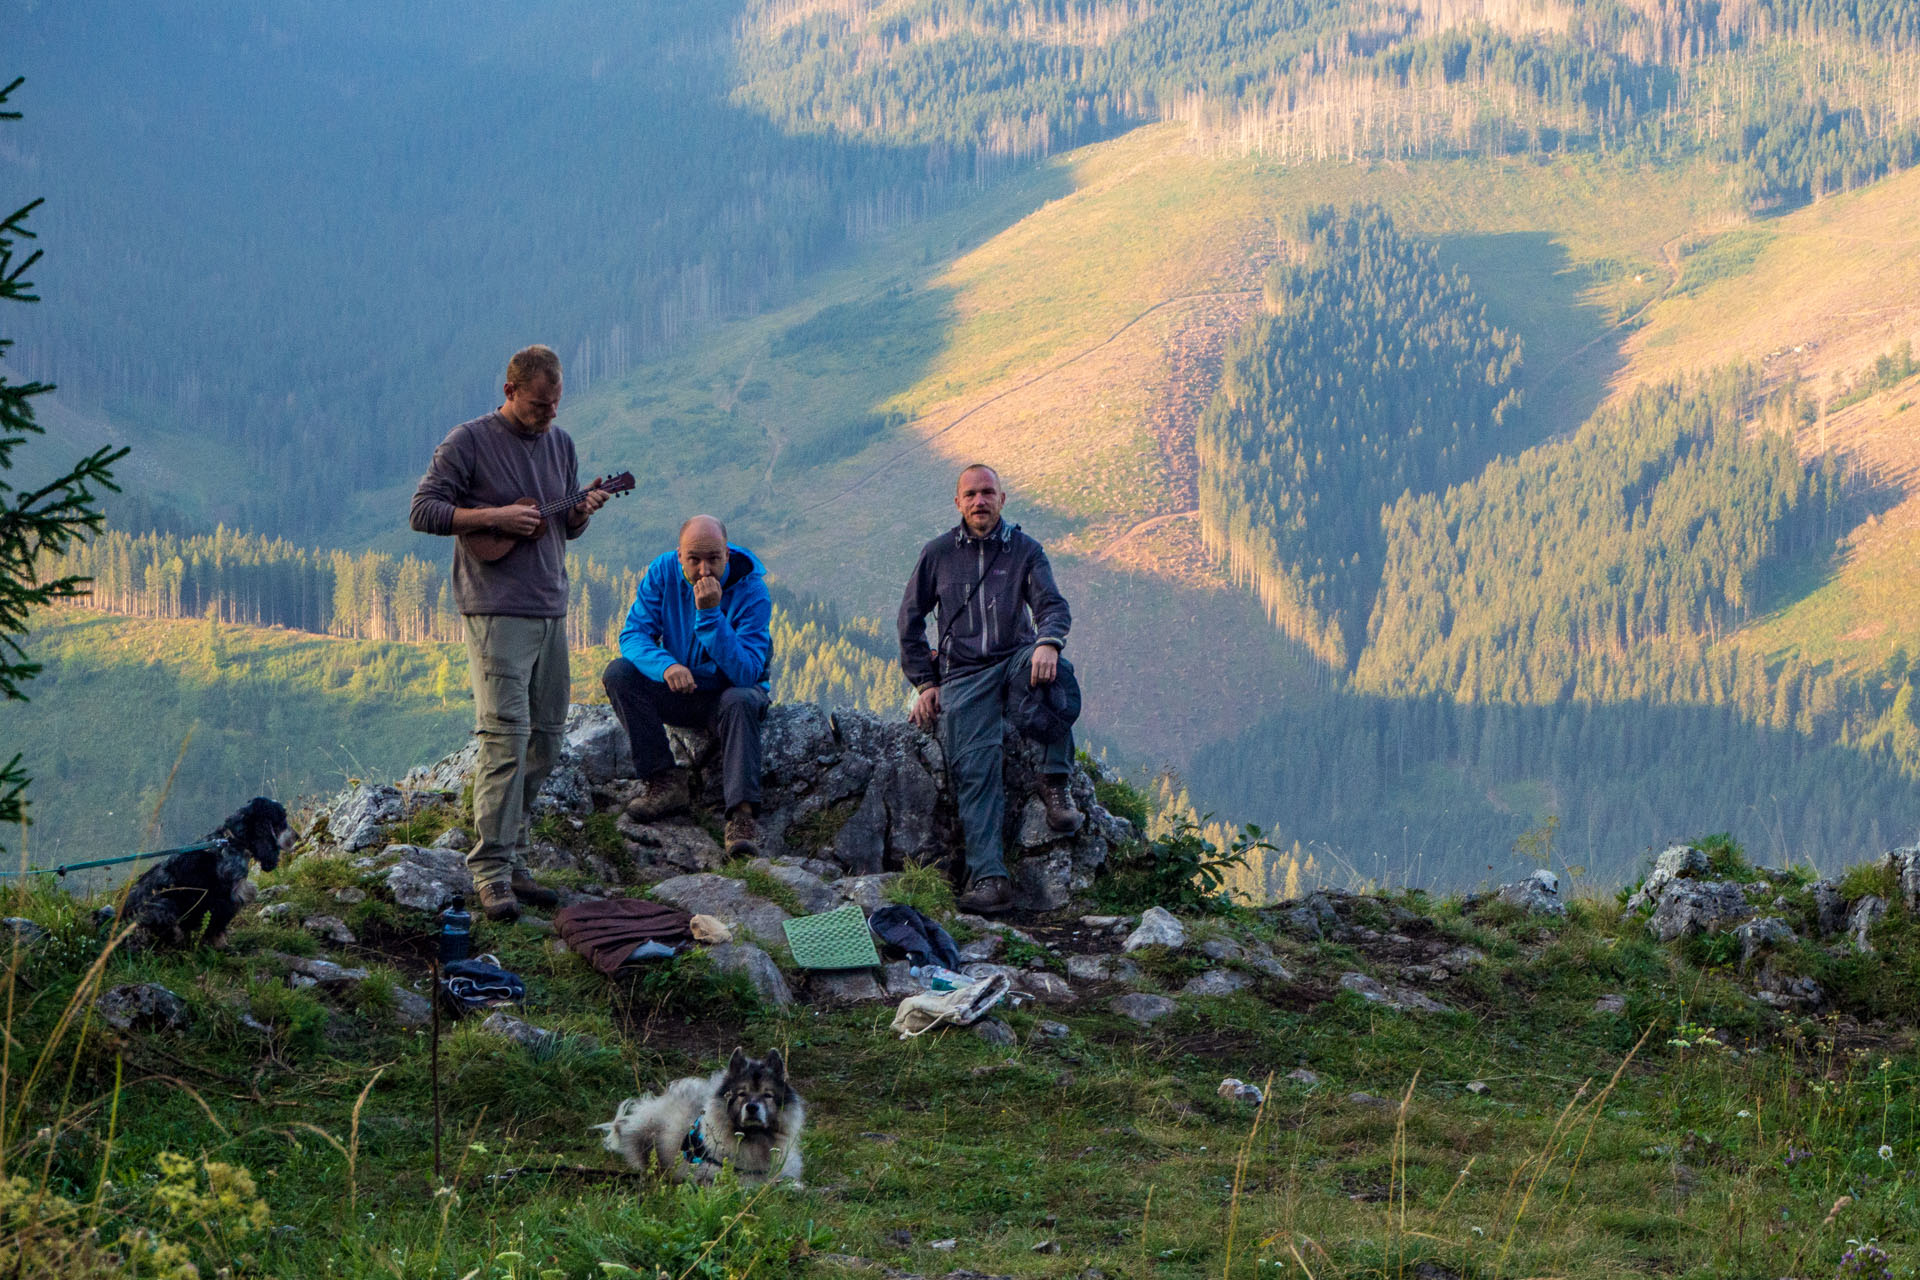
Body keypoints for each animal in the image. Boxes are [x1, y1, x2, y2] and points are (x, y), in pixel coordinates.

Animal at [121, 802, 293, 951]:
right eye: (282, 819)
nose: (296, 836)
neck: (231, 840)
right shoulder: (222, 900)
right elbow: (216, 927)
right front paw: (222, 947)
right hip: (163, 906)